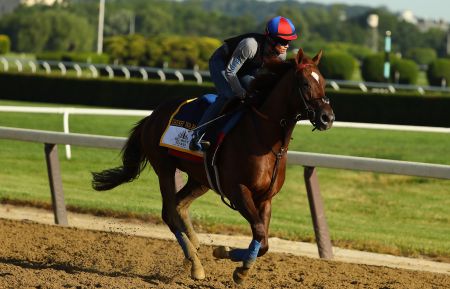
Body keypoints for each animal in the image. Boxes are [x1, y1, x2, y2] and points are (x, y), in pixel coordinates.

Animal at [92, 48, 334, 282]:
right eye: (305, 83)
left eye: (323, 82)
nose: (327, 118)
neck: (264, 139)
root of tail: (151, 116)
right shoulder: (238, 190)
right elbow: (259, 232)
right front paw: (237, 266)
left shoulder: (265, 198)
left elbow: (264, 241)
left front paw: (230, 257)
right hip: (165, 169)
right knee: (169, 213)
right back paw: (195, 264)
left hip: (201, 179)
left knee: (179, 206)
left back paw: (194, 248)